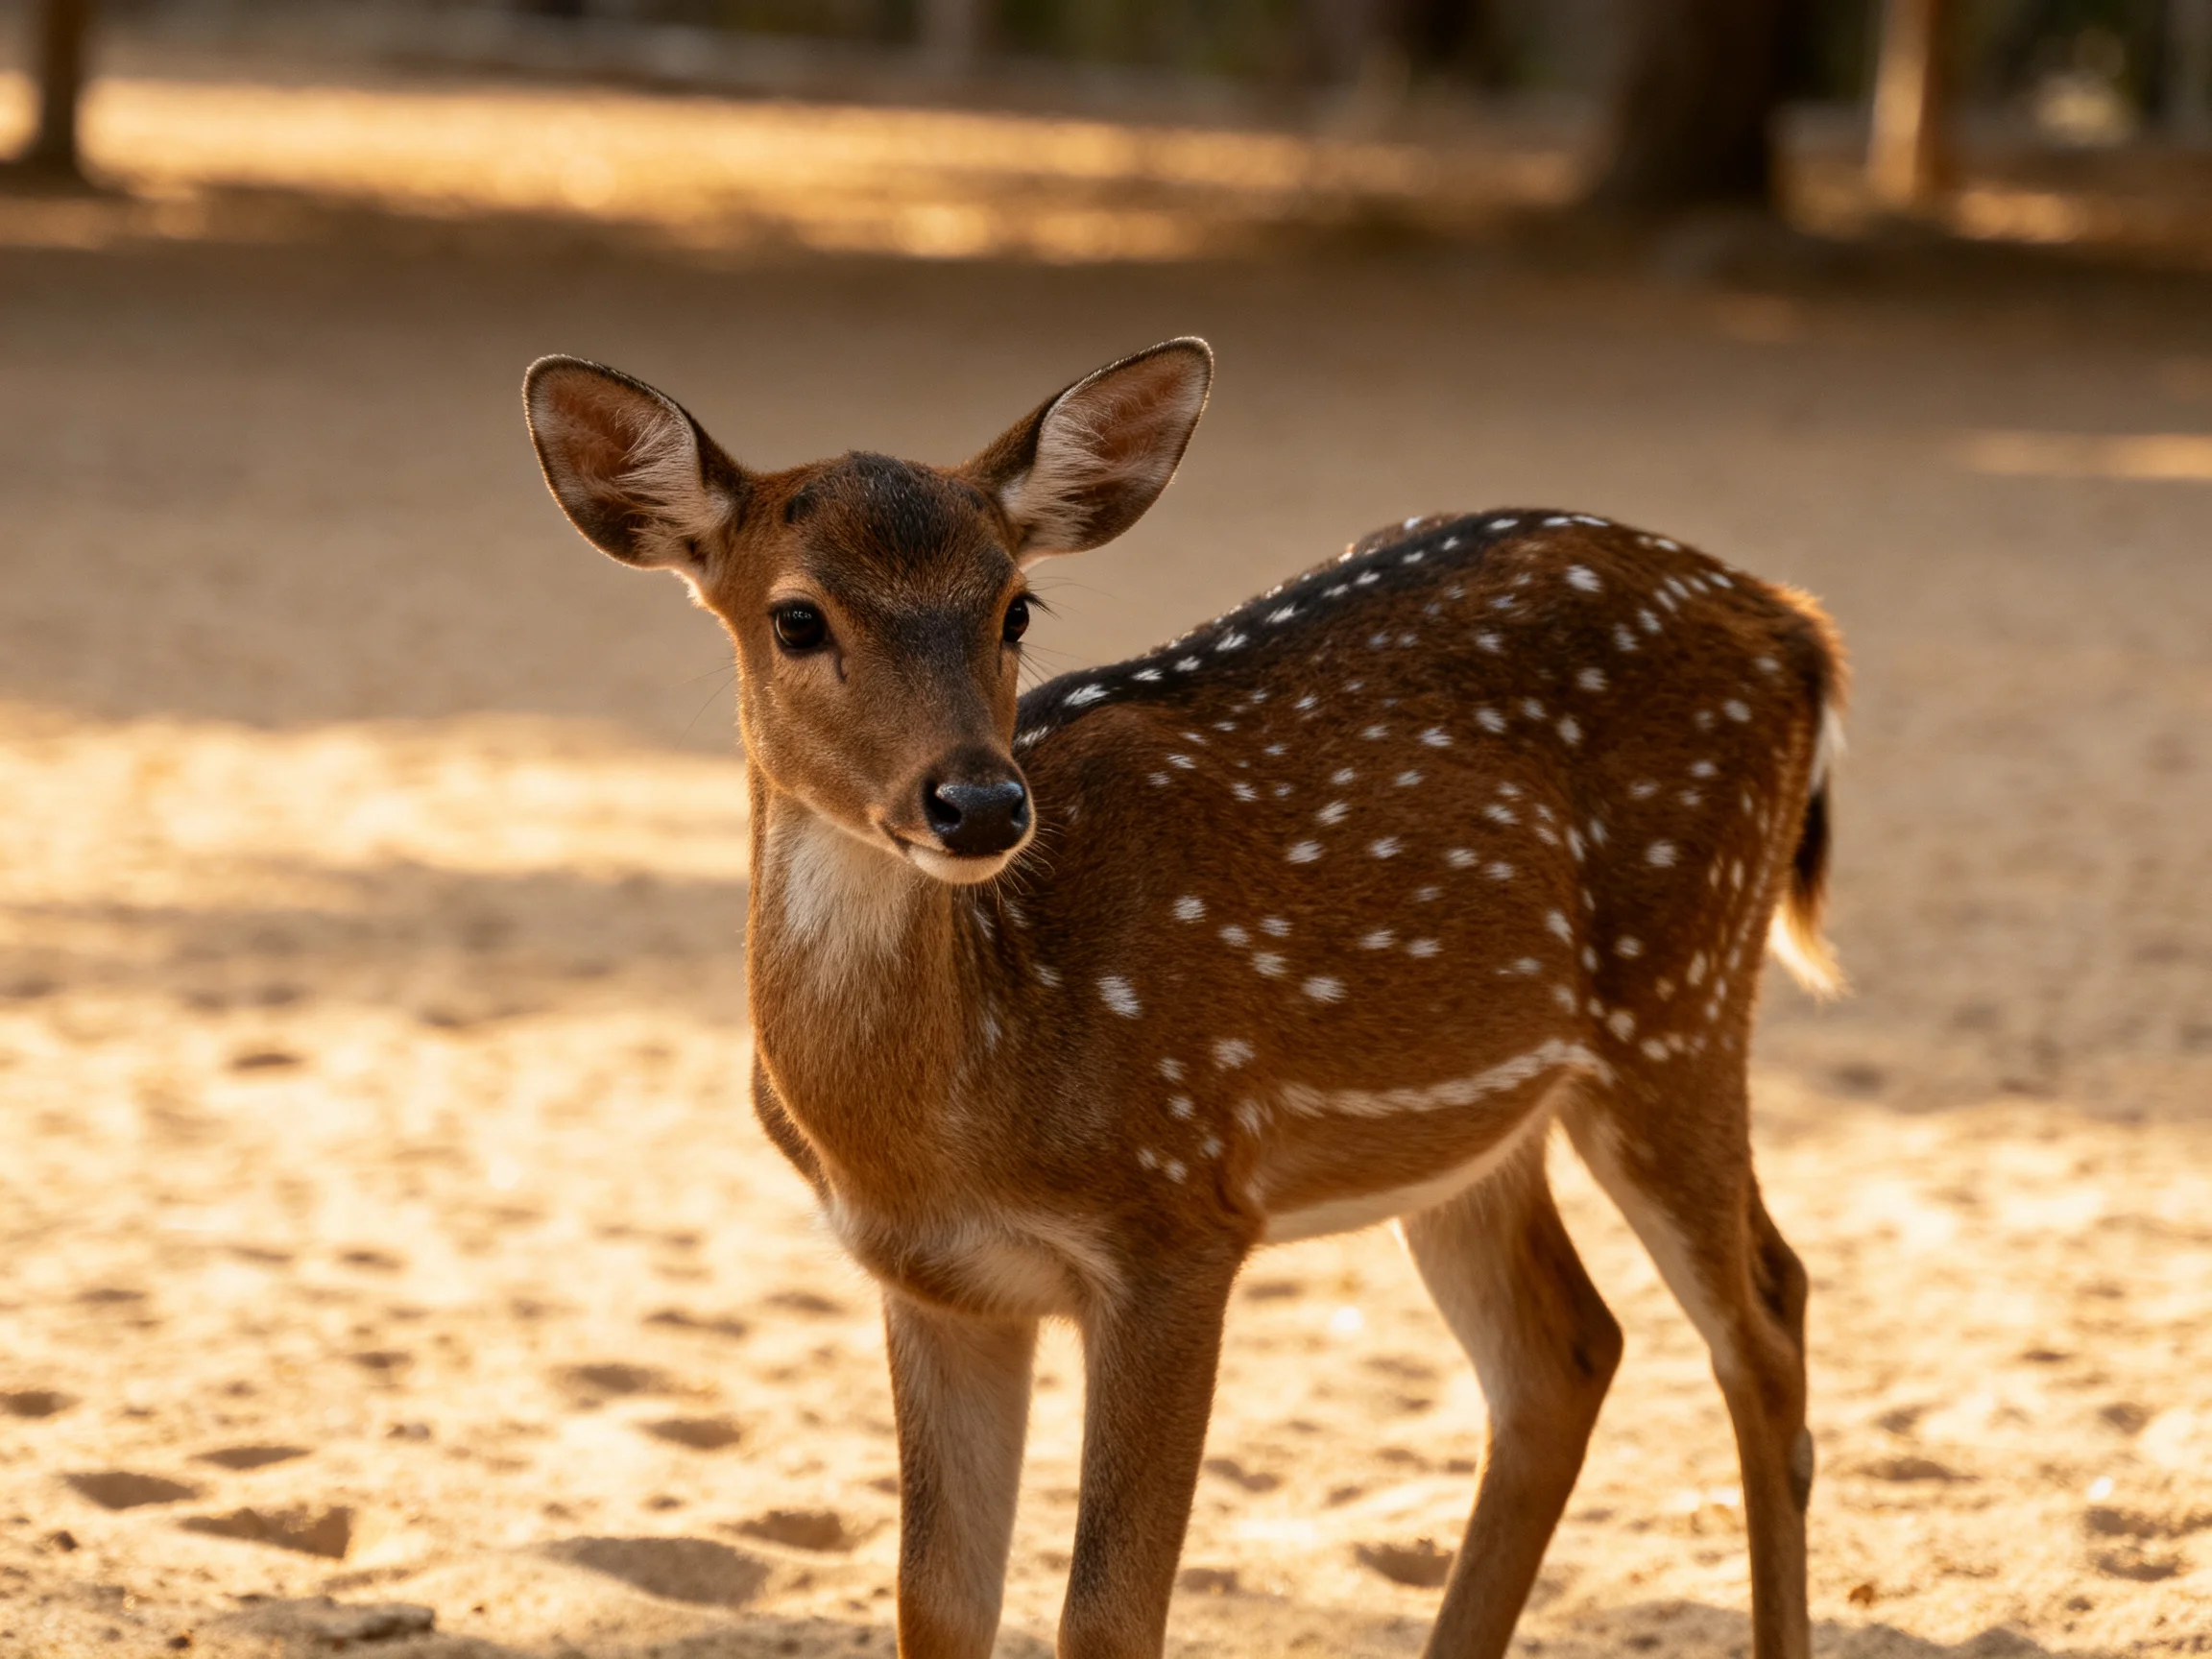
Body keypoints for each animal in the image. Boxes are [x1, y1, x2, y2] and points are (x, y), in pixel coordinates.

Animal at [521, 337, 1846, 1659]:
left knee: (1767, 1313)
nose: (981, 803)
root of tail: (1797, 625)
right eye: (796, 617)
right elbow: (935, 1602)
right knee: (1564, 1352)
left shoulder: (1180, 1221)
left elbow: (1108, 1613)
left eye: (1016, 606)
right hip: (1474, 1118)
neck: (947, 1123)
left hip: (1680, 998)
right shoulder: (929, 1280)